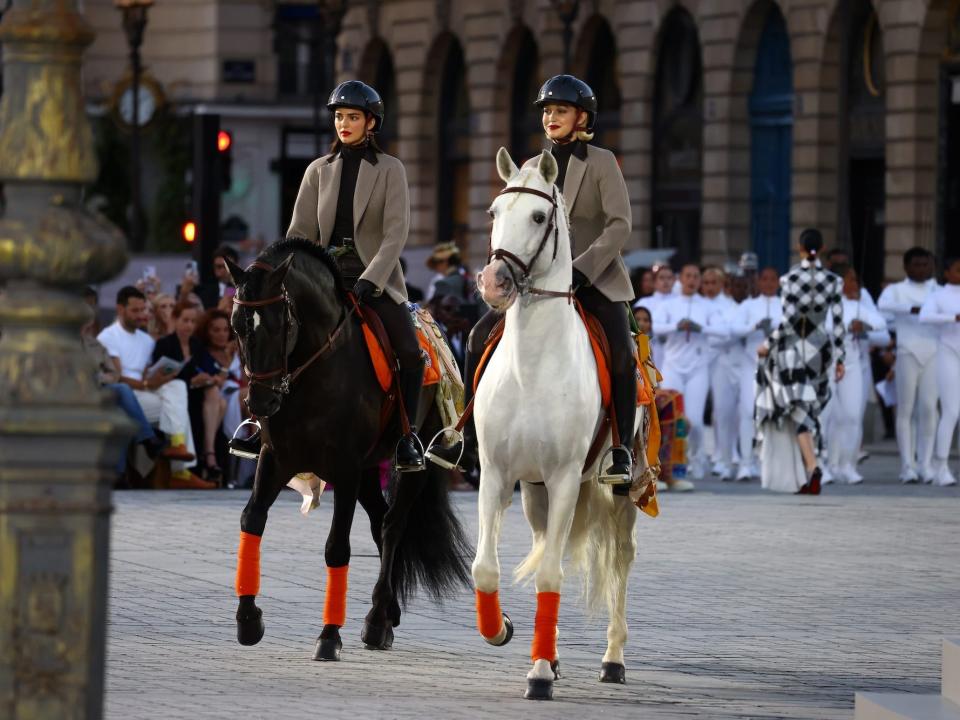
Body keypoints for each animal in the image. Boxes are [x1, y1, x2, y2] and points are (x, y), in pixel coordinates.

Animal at [222, 238, 468, 660]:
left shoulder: (345, 469)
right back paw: (387, 613)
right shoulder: (275, 459)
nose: (260, 402)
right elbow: (251, 520)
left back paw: (377, 620)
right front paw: (249, 619)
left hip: (409, 464)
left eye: (281, 323)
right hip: (370, 471)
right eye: (237, 325)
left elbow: (337, 548)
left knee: (392, 525)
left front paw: (329, 635)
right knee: (379, 521)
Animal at [470, 149, 644, 700]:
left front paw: (540, 675)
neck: (532, 367)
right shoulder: (497, 475)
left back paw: (613, 659)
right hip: (536, 493)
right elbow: (485, 569)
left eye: (538, 217)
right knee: (553, 546)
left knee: (620, 559)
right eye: (492, 213)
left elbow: (550, 575)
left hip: (618, 489)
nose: (494, 283)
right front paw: (501, 628)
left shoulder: (567, 476)